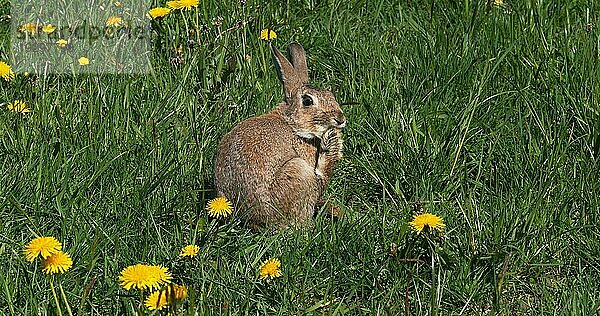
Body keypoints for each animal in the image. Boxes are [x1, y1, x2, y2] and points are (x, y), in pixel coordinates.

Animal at [214, 42, 346, 230]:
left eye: (331, 95)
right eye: (307, 101)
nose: (341, 119)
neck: (291, 123)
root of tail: (258, 220)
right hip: (299, 171)